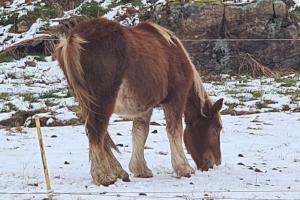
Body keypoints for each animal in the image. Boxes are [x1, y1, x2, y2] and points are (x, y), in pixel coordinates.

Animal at [53, 18, 223, 186]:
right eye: (216, 130)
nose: (216, 163)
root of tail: (73, 38)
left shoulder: (144, 107)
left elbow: (140, 132)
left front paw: (140, 169)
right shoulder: (175, 98)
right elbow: (175, 130)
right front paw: (184, 168)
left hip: (88, 104)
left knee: (101, 136)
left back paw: (118, 172)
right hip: (102, 103)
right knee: (97, 133)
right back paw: (104, 176)